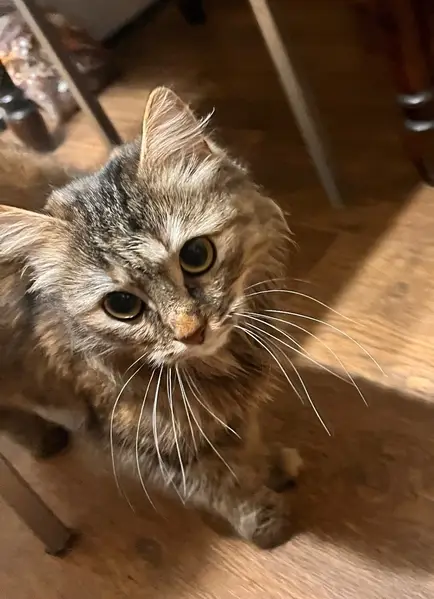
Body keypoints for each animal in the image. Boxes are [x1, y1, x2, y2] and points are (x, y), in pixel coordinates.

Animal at [0, 87, 302, 549]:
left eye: (196, 255)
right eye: (122, 305)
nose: (192, 332)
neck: (215, 366)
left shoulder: (229, 405)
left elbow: (245, 436)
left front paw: (270, 465)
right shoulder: (141, 439)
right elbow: (223, 482)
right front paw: (263, 519)